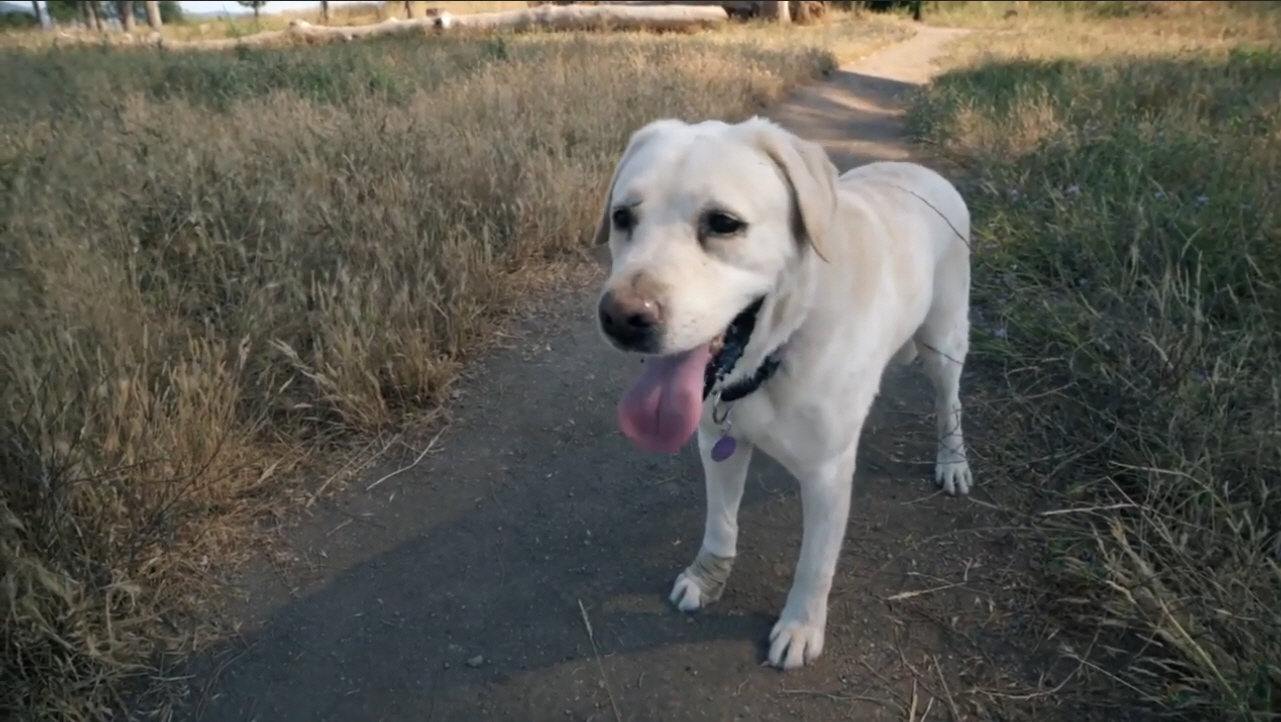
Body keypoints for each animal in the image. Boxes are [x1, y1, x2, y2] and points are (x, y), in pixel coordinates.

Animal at [594, 117, 973, 670]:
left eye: (723, 223)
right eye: (622, 216)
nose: (620, 319)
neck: (779, 350)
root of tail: (923, 171)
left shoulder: (827, 477)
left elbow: (815, 564)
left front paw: (800, 627)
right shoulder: (716, 442)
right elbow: (721, 524)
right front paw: (708, 577)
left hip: (944, 343)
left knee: (950, 404)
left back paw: (953, 461)